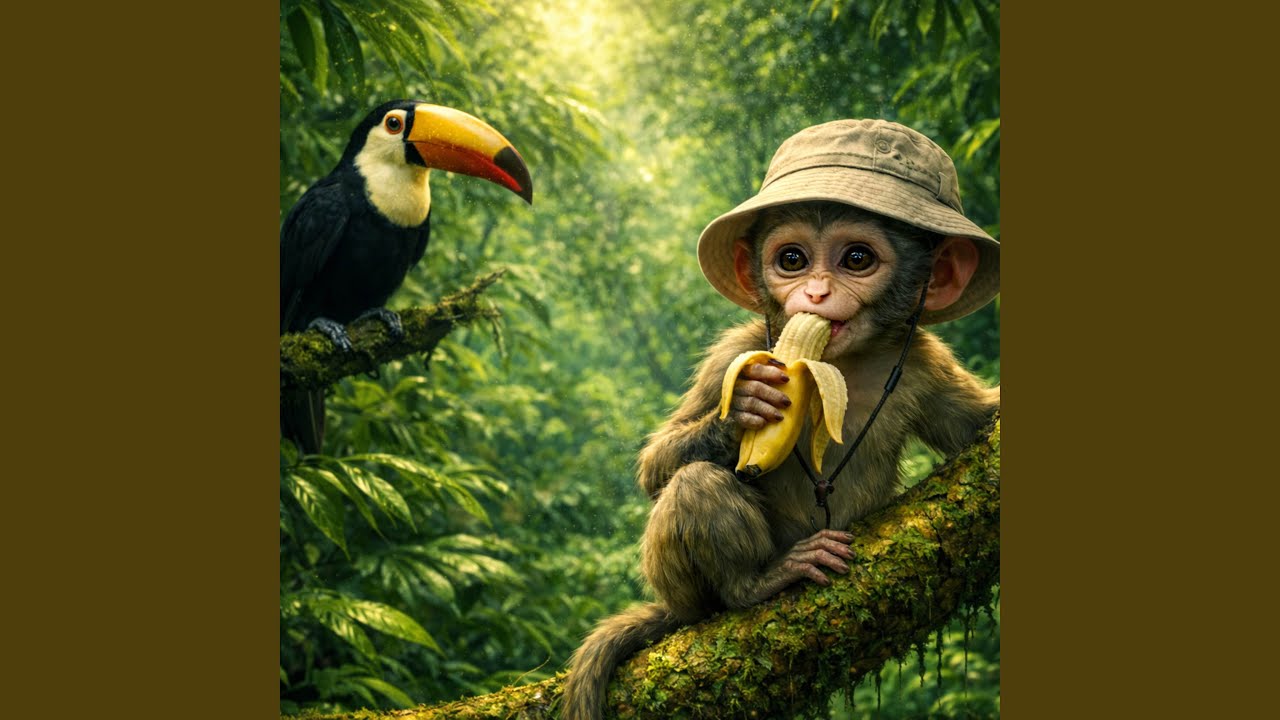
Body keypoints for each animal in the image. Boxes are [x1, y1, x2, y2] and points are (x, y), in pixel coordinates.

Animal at [560, 119, 1000, 720]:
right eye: (792, 259)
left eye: (856, 259)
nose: (814, 293)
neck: (839, 363)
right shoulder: (735, 351)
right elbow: (655, 468)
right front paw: (747, 406)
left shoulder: (924, 363)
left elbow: (973, 424)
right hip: (685, 589)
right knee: (696, 483)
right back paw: (754, 584)